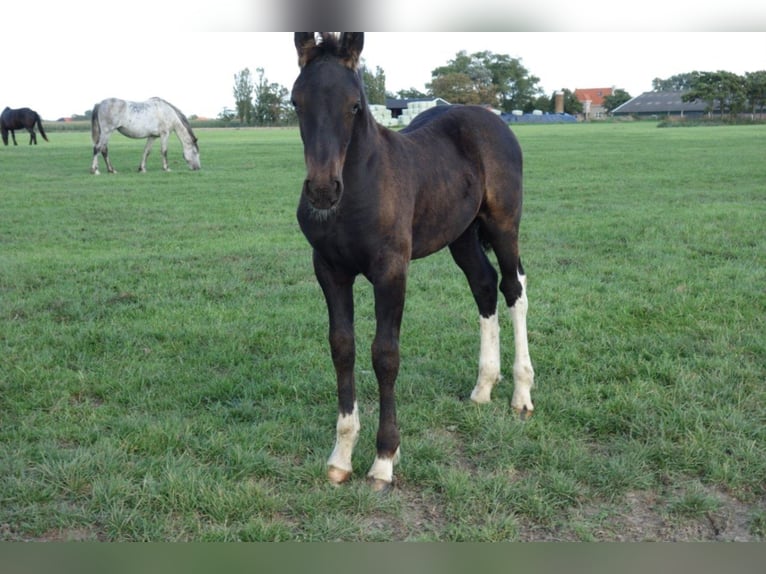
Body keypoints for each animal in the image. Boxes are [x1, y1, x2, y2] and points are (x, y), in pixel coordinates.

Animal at [292, 31, 536, 492]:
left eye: (354, 105)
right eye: (296, 102)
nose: (322, 190)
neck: (360, 186)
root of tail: (491, 118)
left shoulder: (391, 270)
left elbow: (385, 354)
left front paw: (384, 458)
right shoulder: (329, 270)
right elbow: (342, 347)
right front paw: (341, 457)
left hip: (503, 224)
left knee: (514, 288)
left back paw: (521, 394)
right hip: (461, 235)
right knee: (484, 285)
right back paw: (483, 388)